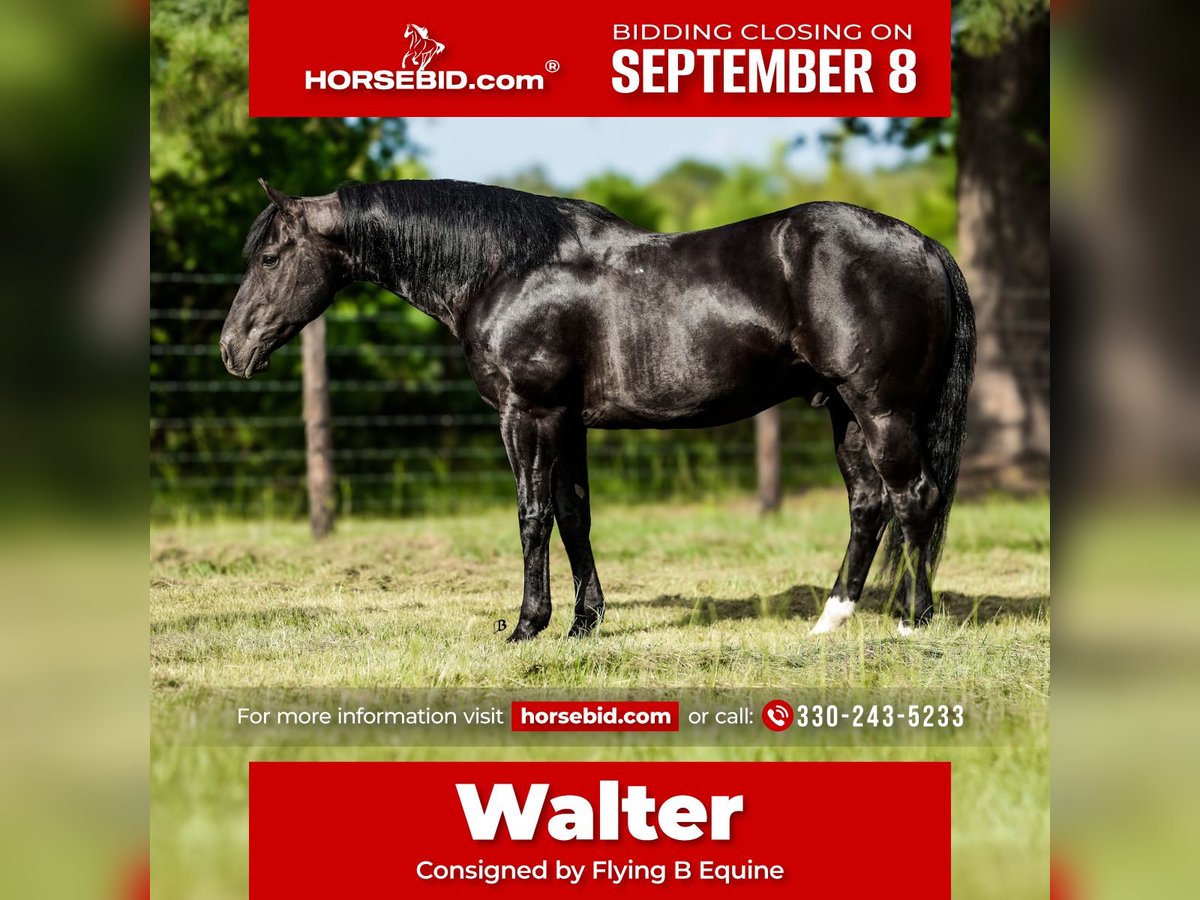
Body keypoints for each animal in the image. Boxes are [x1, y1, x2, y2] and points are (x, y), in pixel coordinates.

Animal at [220, 179, 975, 642]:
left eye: (271, 255)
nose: (232, 349)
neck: (508, 268)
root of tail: (922, 244)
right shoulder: (566, 421)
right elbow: (573, 515)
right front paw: (585, 622)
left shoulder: (527, 414)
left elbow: (532, 517)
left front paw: (527, 625)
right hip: (844, 412)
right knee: (868, 505)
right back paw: (830, 619)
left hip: (882, 410)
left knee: (912, 497)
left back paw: (912, 620)